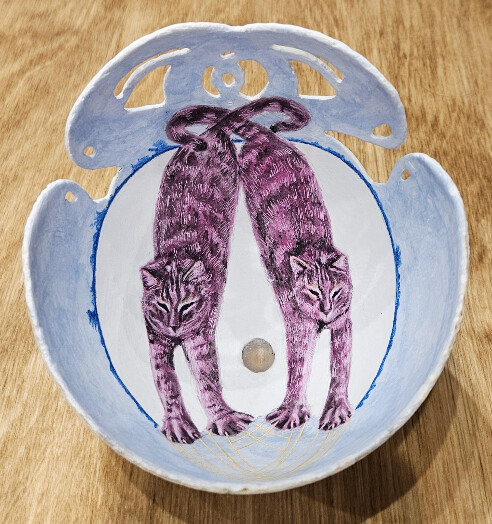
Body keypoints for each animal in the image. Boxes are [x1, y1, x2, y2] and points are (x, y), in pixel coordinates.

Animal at [141, 99, 308, 443]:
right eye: (161, 305)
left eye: (188, 306)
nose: (174, 326)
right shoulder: (155, 337)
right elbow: (166, 383)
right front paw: (178, 424)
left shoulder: (201, 337)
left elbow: (207, 378)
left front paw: (222, 418)